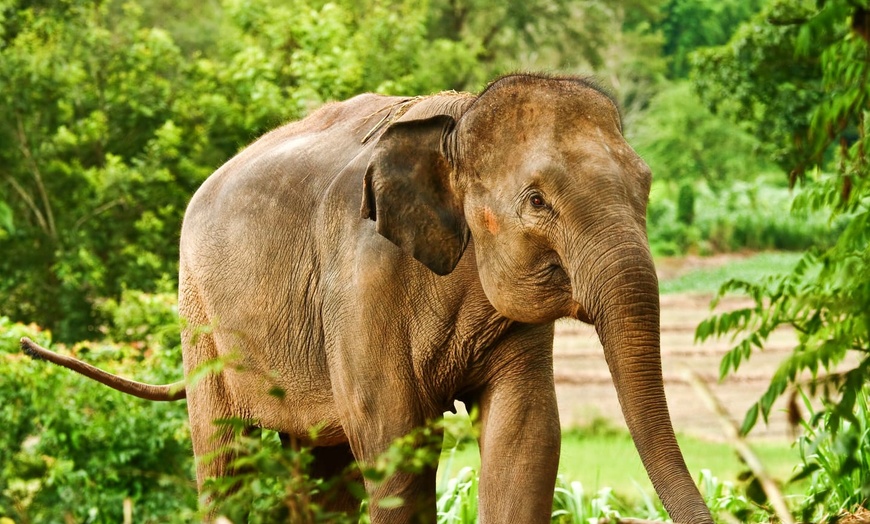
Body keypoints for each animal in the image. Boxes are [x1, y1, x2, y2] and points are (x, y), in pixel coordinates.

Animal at [20, 73, 716, 524]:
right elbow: (393, 438)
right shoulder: (360, 277)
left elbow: (527, 437)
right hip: (200, 317)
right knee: (227, 457)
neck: (457, 121)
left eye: (646, 185)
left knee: (321, 467)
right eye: (537, 201)